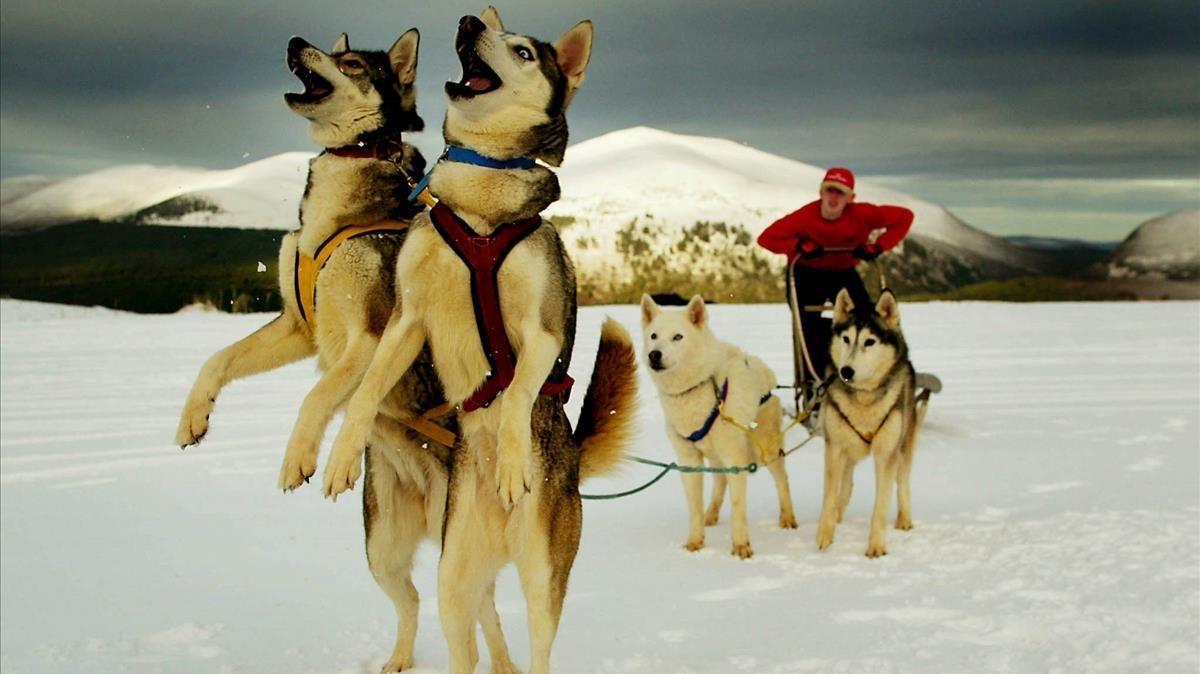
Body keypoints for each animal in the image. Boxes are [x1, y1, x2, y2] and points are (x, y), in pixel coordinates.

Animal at [172, 32, 516, 671]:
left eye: (351, 63)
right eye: (337, 49)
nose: (295, 42)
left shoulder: (371, 336)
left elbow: (317, 396)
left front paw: (300, 458)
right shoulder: (297, 327)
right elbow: (219, 360)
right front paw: (193, 418)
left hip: (455, 553)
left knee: (484, 612)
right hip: (381, 551)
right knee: (415, 603)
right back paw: (398, 660)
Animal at [316, 6, 638, 671]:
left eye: (522, 51)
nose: (467, 21)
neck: (480, 211)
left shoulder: (541, 329)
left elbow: (514, 394)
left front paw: (513, 462)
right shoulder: (407, 320)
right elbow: (365, 393)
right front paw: (339, 456)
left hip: (543, 576)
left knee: (539, 644)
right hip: (454, 579)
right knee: (464, 630)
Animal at [638, 293, 796, 556]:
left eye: (678, 337)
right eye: (653, 336)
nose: (654, 355)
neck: (693, 390)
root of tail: (762, 367)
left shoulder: (735, 458)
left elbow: (738, 506)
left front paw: (741, 546)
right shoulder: (688, 461)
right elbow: (694, 507)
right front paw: (695, 540)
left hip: (766, 450)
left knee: (782, 481)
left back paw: (788, 518)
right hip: (716, 456)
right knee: (719, 482)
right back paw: (710, 514)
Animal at [816, 289, 926, 556]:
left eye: (869, 342)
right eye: (846, 339)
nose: (846, 371)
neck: (863, 399)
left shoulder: (886, 454)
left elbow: (880, 507)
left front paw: (876, 547)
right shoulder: (834, 448)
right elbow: (830, 497)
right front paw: (825, 536)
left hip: (903, 446)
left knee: (902, 482)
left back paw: (904, 519)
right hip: (848, 451)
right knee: (846, 485)